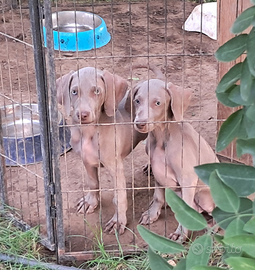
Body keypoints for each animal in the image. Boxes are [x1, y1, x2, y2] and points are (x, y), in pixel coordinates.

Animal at [56, 67, 146, 234]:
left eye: (97, 91)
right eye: (74, 91)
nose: (82, 115)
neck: (89, 132)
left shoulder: (116, 168)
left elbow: (119, 196)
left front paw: (118, 221)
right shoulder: (87, 161)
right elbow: (93, 183)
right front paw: (91, 202)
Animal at [132, 64, 218, 242]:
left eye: (158, 103)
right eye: (137, 101)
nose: (140, 124)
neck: (161, 137)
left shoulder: (187, 178)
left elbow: (185, 210)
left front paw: (181, 234)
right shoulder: (158, 170)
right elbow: (157, 196)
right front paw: (152, 214)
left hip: (204, 195)